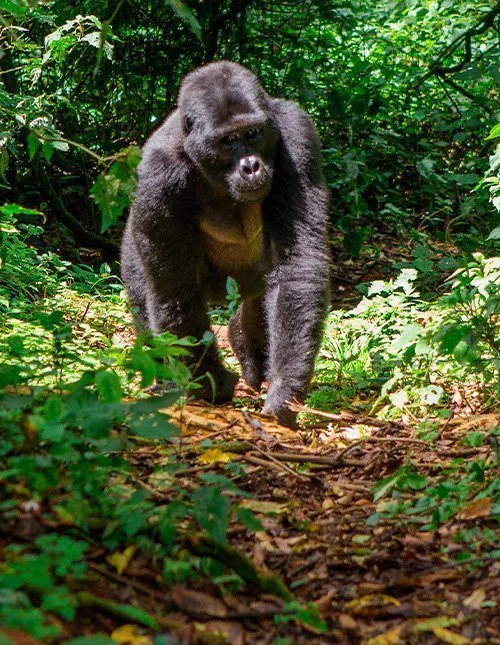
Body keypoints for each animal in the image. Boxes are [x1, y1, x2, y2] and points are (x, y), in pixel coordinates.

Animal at [121, 61, 330, 427]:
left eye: (253, 134)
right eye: (228, 141)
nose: (252, 166)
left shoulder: (296, 133)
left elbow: (297, 265)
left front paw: (285, 388)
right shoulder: (158, 174)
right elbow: (175, 290)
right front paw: (210, 385)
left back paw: (244, 342)